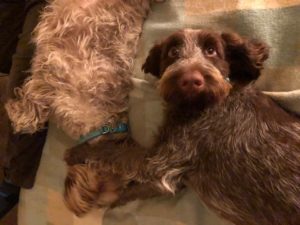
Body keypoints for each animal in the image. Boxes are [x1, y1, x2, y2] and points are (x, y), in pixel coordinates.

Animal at [65, 29, 300, 224]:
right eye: (173, 51)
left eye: (211, 50)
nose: (190, 79)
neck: (200, 106)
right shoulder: (170, 178)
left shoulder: (157, 161)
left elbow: (112, 152)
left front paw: (78, 152)